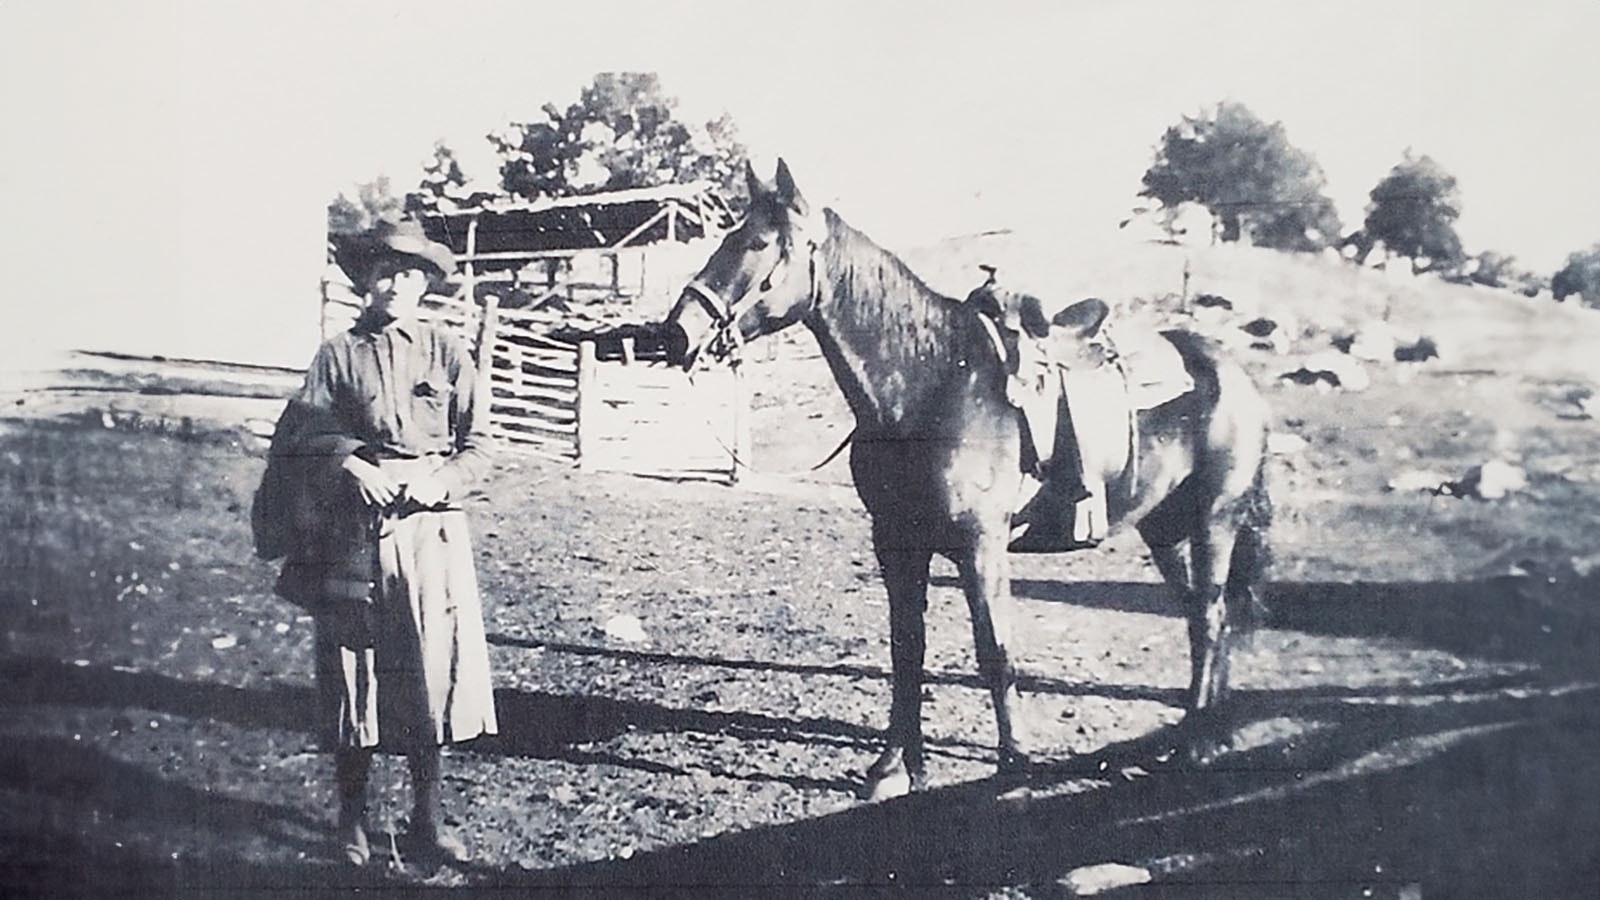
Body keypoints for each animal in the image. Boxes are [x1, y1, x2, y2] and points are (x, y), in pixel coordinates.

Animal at [662, 157, 1273, 794]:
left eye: (757, 243)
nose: (676, 332)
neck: (929, 385)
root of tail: (1230, 371)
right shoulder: (896, 543)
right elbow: (907, 649)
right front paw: (893, 768)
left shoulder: (981, 545)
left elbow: (994, 651)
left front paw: (1013, 767)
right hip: (1165, 529)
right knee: (1205, 617)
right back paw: (1206, 736)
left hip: (1214, 522)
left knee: (1210, 617)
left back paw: (1193, 746)